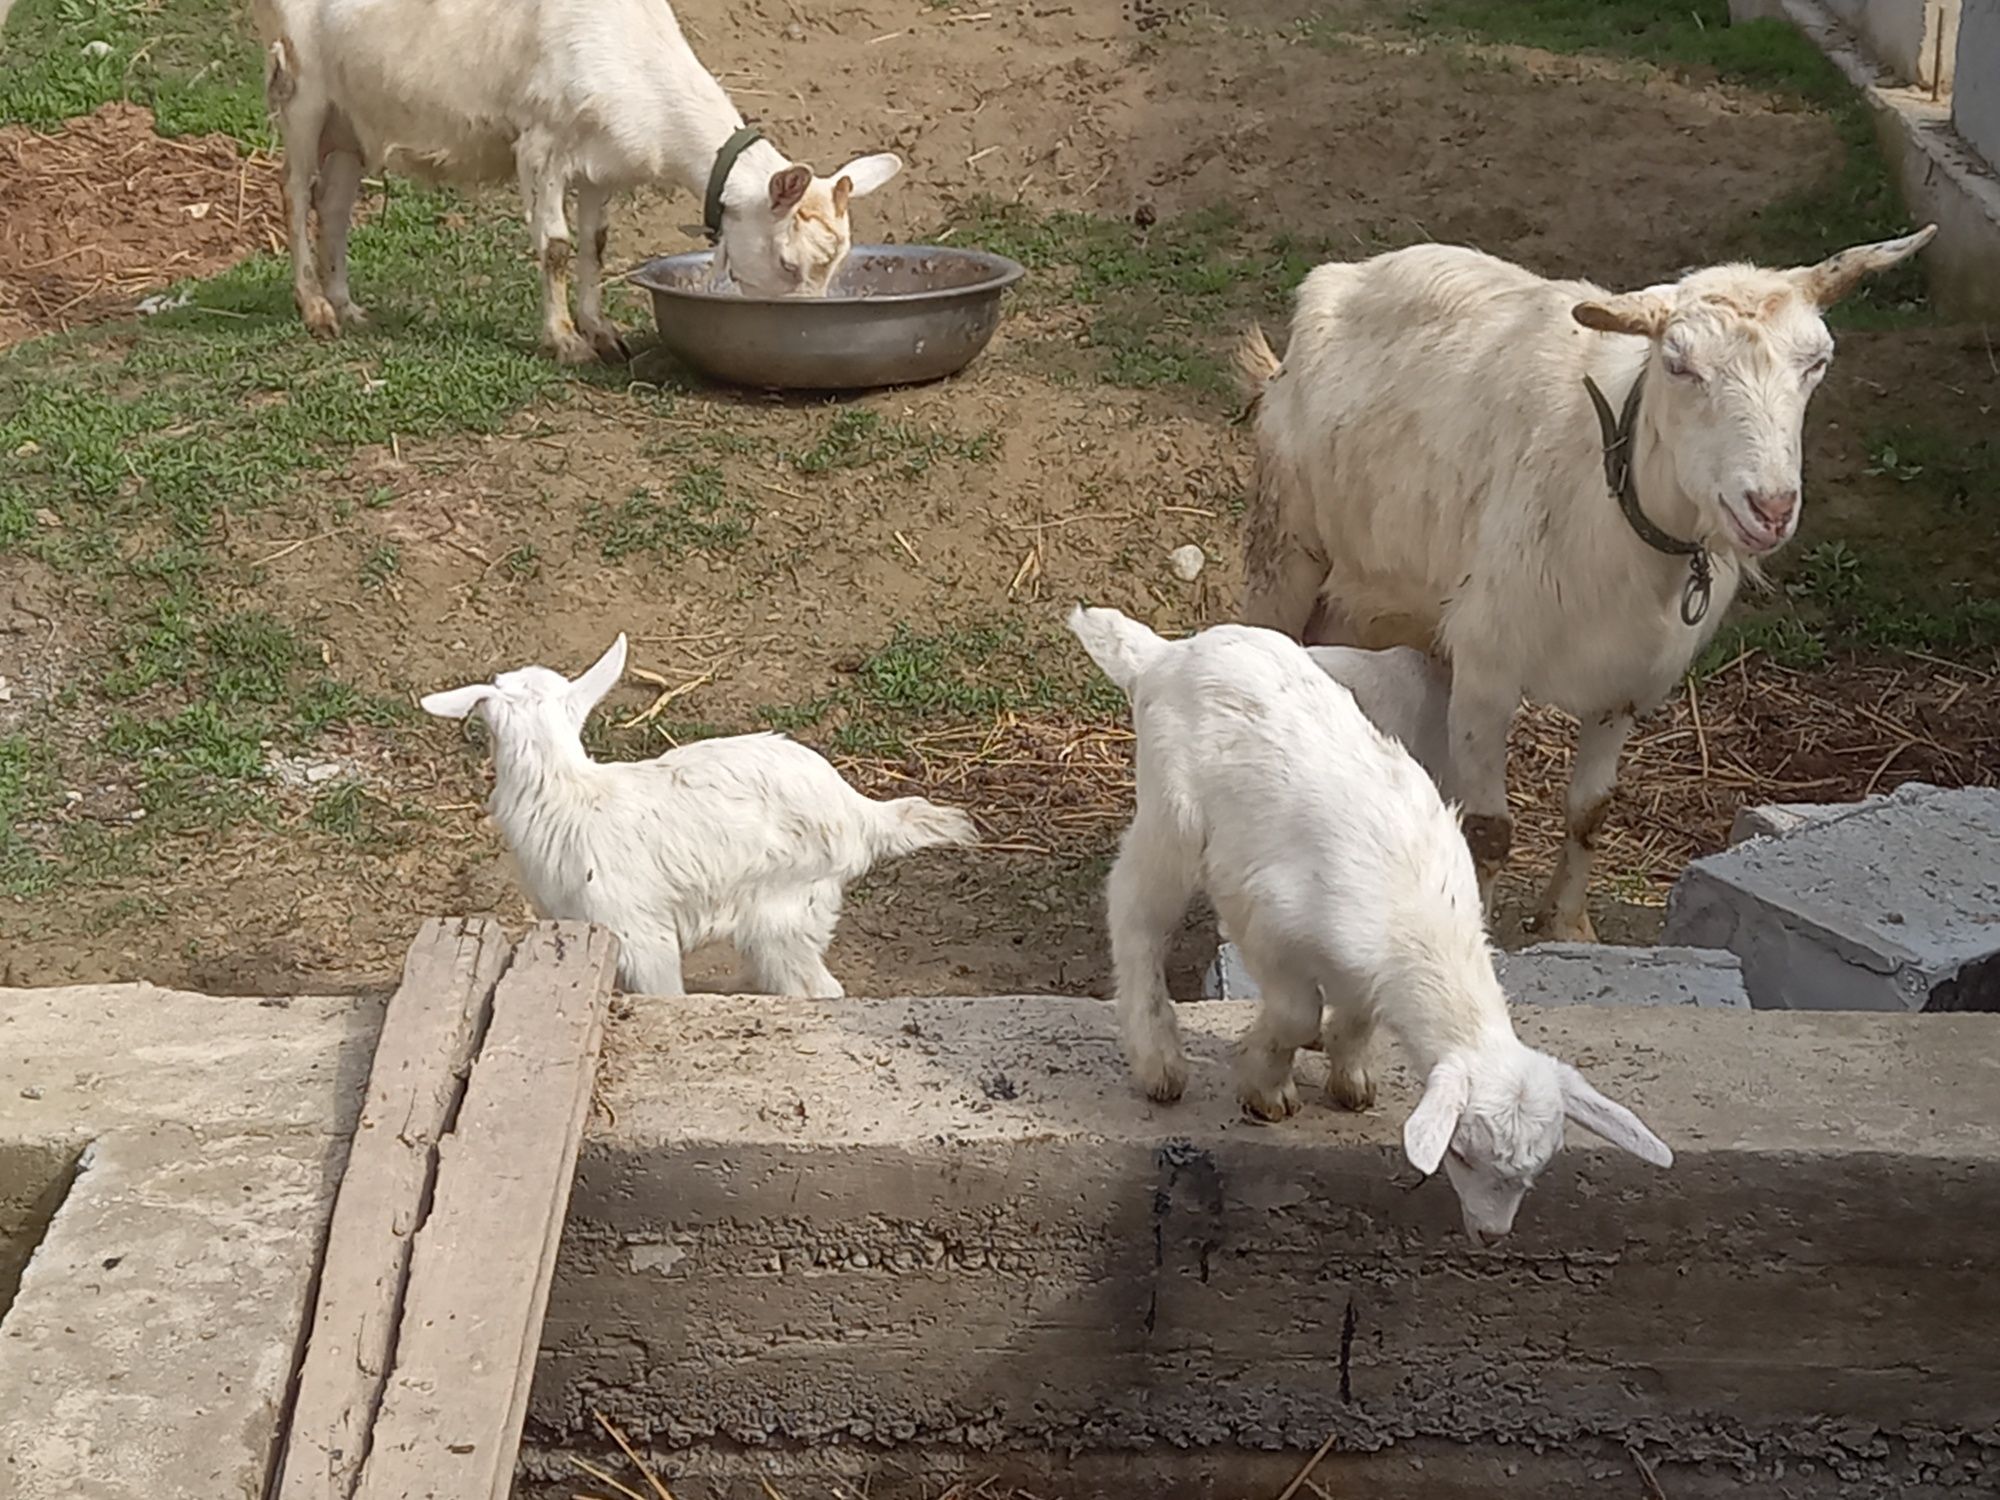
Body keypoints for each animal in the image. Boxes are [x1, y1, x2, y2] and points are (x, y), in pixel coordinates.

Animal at [254, 0, 904, 364]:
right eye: (790, 265)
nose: (811, 329)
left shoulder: (602, 162)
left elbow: (596, 243)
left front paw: (603, 333)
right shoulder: (541, 144)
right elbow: (558, 247)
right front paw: (565, 341)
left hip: (353, 120)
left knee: (334, 205)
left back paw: (348, 306)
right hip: (302, 86)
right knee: (293, 191)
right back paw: (314, 306)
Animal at [424, 636, 976, 1000]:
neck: (566, 790)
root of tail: (862, 813)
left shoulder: (638, 930)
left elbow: (664, 992)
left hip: (785, 903)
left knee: (815, 986)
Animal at [1064, 604, 1672, 1248]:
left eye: (1536, 1171)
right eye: (1461, 1155)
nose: (1490, 1235)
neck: (1419, 928)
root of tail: (1164, 656)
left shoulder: (1363, 966)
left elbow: (1358, 1014)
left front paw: (1348, 1076)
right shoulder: (1265, 919)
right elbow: (1295, 1012)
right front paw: (1266, 1088)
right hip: (1173, 814)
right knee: (1134, 909)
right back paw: (1158, 1060)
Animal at [1232, 229, 1936, 940]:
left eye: (1816, 363)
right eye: (1678, 365)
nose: (1768, 507)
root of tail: (1346, 276)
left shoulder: (1623, 683)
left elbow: (1589, 812)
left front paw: (1568, 925)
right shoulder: (1488, 670)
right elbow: (1490, 830)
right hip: (1286, 545)